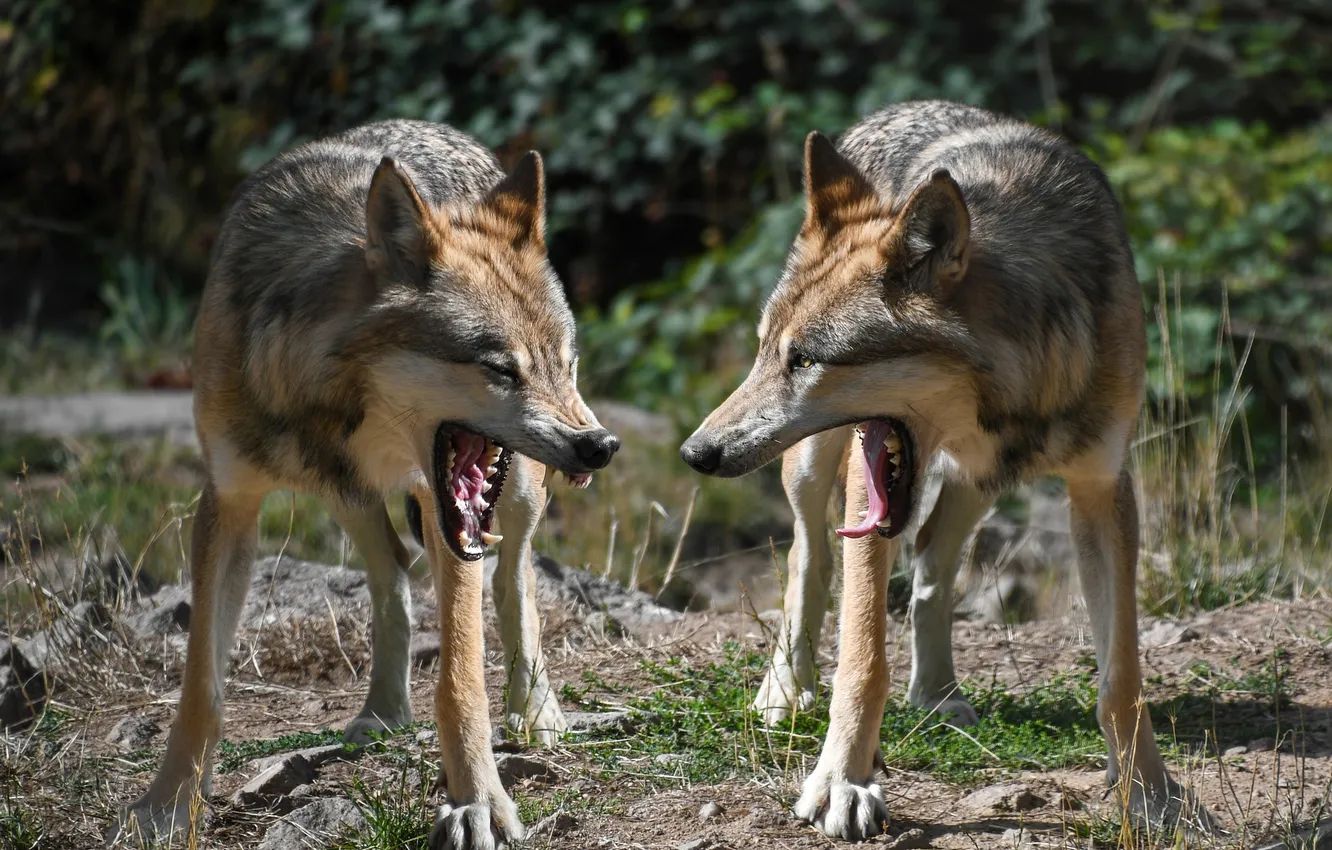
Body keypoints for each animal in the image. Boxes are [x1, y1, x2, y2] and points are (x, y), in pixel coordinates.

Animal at [111, 120, 619, 850]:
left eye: (564, 363)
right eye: (501, 368)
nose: (601, 446)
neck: (331, 401)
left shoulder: (444, 509)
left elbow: (460, 680)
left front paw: (478, 801)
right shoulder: (228, 503)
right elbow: (200, 687)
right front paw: (169, 804)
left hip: (514, 491)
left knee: (513, 580)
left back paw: (536, 710)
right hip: (348, 501)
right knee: (394, 575)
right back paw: (382, 711)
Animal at [681, 101, 1209, 840]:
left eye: (804, 359)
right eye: (767, 353)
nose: (695, 453)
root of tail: (894, 109)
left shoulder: (1103, 489)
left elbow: (1122, 677)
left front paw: (1151, 794)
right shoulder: (870, 477)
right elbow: (863, 657)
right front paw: (844, 781)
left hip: (978, 485)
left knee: (931, 561)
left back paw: (935, 694)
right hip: (816, 468)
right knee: (809, 558)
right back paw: (786, 690)